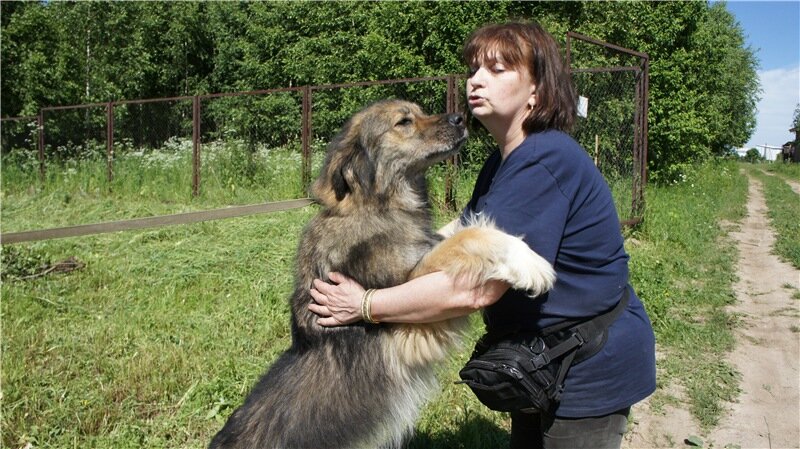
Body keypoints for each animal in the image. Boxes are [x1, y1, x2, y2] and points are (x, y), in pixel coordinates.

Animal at [209, 100, 552, 446]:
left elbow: (460, 231)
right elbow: (468, 237)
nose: (460, 118)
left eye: (420, 112)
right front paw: (530, 262)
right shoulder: (410, 294)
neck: (375, 207)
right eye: (404, 122)